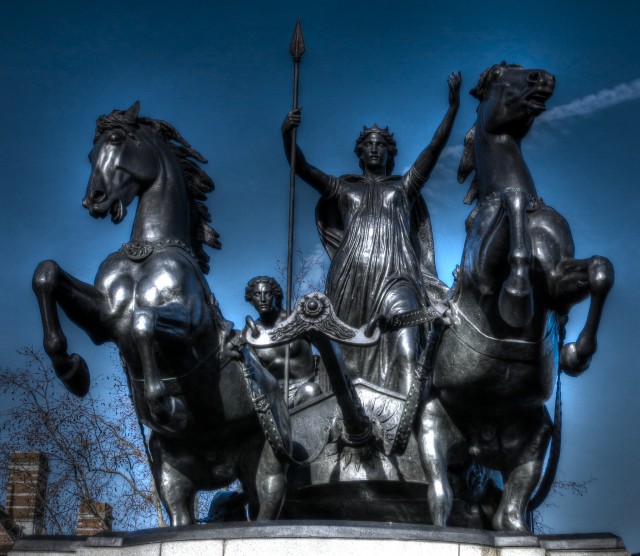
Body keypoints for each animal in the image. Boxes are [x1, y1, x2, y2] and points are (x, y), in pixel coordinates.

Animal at [32, 103, 288, 524]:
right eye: (90, 153)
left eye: (117, 139)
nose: (94, 200)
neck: (150, 249)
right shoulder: (105, 319)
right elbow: (47, 274)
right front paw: (72, 371)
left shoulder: (190, 325)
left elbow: (143, 322)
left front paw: (160, 402)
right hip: (172, 473)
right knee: (182, 514)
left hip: (268, 463)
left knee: (268, 508)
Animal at [418, 63, 612, 532]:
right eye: (502, 76)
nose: (543, 78)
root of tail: (479, 444)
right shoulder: (483, 274)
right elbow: (514, 205)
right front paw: (518, 295)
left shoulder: (558, 278)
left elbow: (600, 270)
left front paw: (576, 354)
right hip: (431, 426)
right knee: (439, 500)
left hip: (537, 437)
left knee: (511, 516)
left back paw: (516, 531)